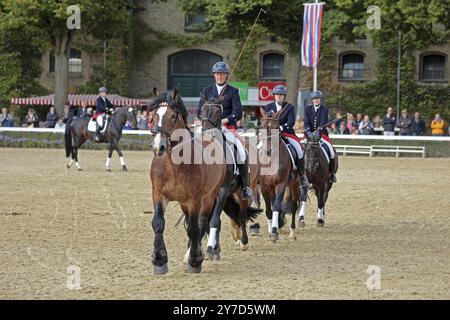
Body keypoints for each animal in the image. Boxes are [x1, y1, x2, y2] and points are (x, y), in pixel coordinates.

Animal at [200, 97, 260, 260]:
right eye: (203, 109)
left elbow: (214, 219)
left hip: (241, 192)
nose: (205, 131)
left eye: (217, 111)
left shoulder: (222, 191)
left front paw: (211, 250)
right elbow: (212, 220)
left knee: (242, 215)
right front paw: (215, 249)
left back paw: (244, 242)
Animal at [258, 106, 300, 241]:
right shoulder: (265, 186)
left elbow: (276, 207)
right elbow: (269, 210)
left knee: (293, 206)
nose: (268, 151)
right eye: (262, 126)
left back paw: (292, 233)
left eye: (276, 127)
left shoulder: (281, 184)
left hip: (294, 184)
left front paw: (274, 232)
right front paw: (271, 230)